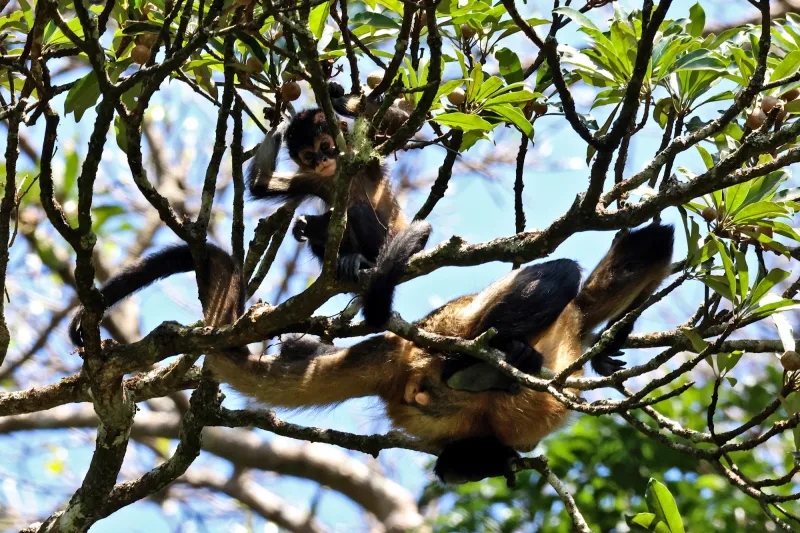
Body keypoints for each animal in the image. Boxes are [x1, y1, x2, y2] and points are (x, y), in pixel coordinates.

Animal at [69, 222, 676, 484]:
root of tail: (405, 348)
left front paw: (610, 352)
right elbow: (643, 245)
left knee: (456, 464)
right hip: (455, 324)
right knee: (561, 272)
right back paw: (480, 366)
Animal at [248, 81, 424, 324]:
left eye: (324, 146)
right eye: (309, 155)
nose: (322, 160)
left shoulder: (364, 159)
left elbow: (406, 122)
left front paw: (335, 98)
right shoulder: (314, 178)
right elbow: (261, 182)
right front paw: (281, 125)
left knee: (358, 210)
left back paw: (365, 262)